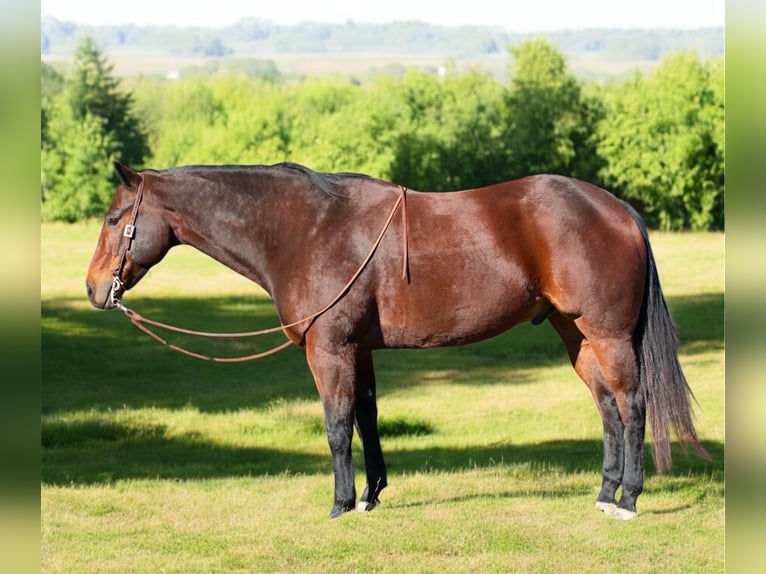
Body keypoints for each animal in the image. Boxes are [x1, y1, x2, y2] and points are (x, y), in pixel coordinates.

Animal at [84, 162, 708, 520]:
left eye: (115, 219)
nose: (93, 288)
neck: (307, 229)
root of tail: (618, 208)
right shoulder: (357, 350)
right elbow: (367, 418)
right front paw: (370, 495)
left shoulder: (330, 349)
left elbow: (337, 426)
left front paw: (340, 504)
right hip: (574, 335)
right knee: (607, 408)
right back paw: (604, 493)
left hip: (607, 335)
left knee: (631, 406)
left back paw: (629, 499)